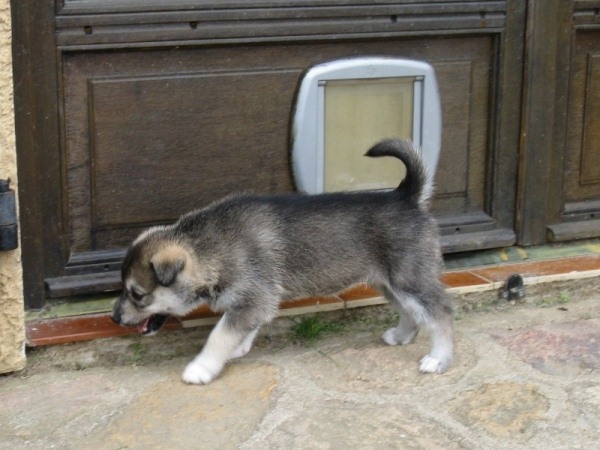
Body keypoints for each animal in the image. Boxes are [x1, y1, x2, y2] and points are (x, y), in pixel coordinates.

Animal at [111, 139, 454, 384]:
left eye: (137, 294)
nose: (114, 318)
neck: (210, 248)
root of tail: (406, 197)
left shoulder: (255, 297)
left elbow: (219, 334)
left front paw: (201, 368)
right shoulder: (257, 302)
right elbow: (241, 327)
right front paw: (239, 347)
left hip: (411, 280)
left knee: (441, 313)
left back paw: (439, 358)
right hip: (391, 283)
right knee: (412, 312)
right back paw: (401, 336)